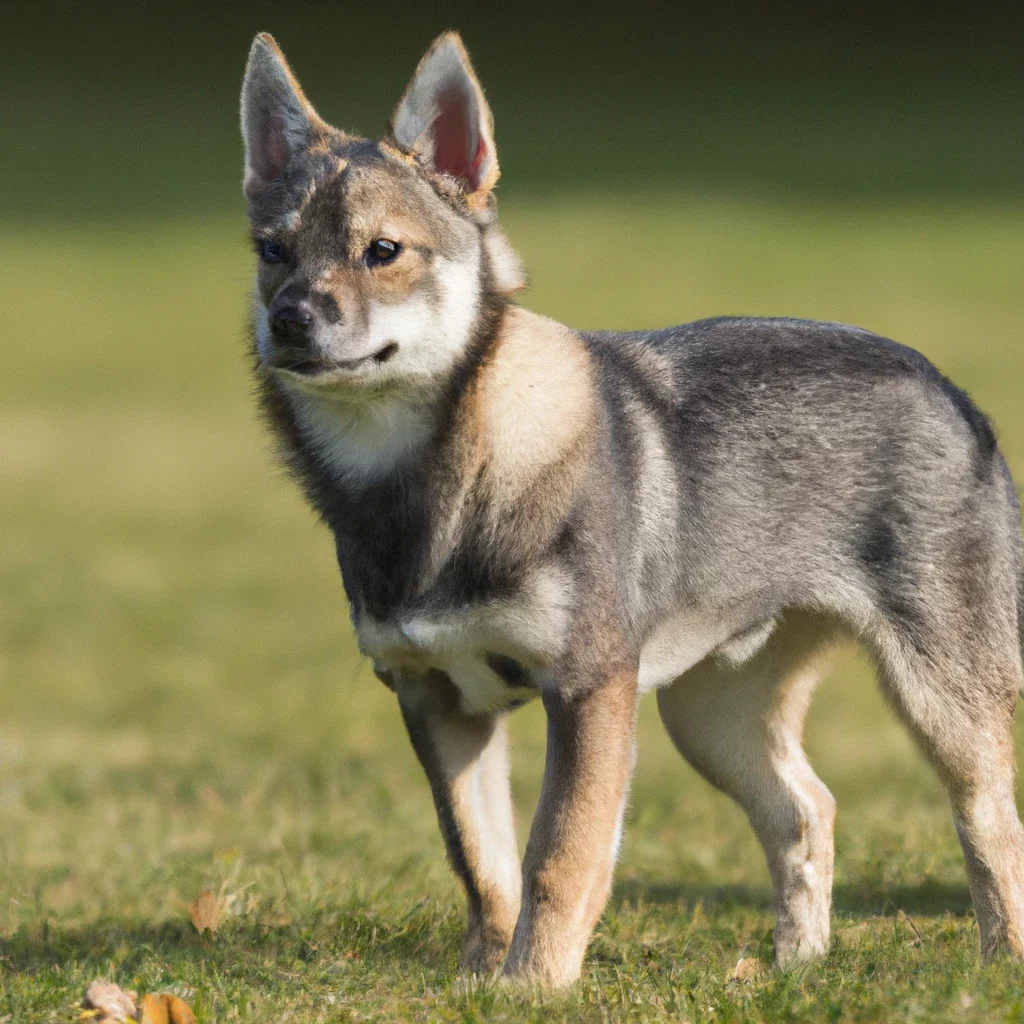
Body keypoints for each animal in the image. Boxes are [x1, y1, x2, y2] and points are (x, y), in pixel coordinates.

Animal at [239, 32, 1024, 987]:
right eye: (272, 251)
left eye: (382, 251)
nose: (289, 320)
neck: (436, 481)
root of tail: (951, 390)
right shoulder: (437, 701)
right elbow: (481, 864)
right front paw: (481, 982)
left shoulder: (588, 693)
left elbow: (558, 857)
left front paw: (534, 986)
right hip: (709, 717)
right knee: (808, 811)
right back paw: (794, 970)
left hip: (945, 702)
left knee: (992, 827)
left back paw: (997, 966)